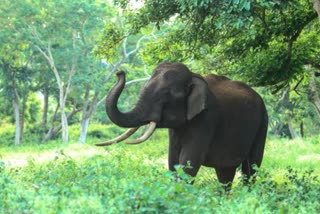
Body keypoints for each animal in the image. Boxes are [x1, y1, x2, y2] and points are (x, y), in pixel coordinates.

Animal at [96, 62, 268, 189]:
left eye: (166, 95)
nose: (120, 72)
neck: (193, 76)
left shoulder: (206, 119)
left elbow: (189, 162)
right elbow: (173, 161)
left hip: (262, 124)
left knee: (251, 168)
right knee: (225, 172)